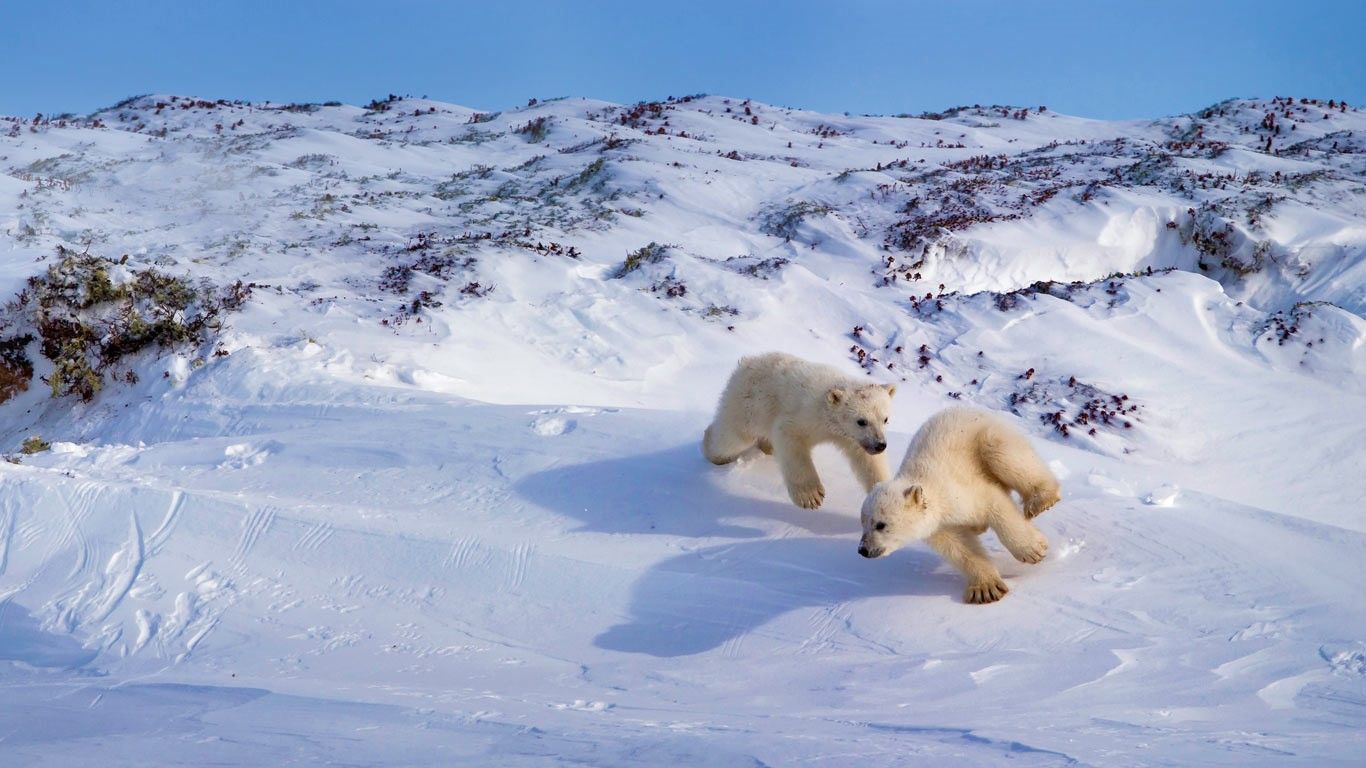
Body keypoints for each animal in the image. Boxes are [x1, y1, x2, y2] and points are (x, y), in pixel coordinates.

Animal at [703, 352, 896, 509]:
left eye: (885, 419)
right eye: (861, 421)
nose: (880, 445)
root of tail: (745, 362)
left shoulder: (853, 438)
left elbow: (869, 462)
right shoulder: (804, 415)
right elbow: (790, 437)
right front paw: (811, 496)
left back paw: (768, 447)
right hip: (749, 404)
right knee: (733, 437)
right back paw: (713, 450)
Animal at [856, 406, 1061, 604]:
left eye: (880, 524)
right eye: (863, 523)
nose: (863, 550)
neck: (937, 495)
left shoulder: (959, 488)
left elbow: (994, 503)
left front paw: (1033, 551)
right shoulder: (938, 526)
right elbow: (960, 547)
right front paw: (985, 590)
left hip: (987, 436)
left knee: (1003, 454)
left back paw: (1041, 501)